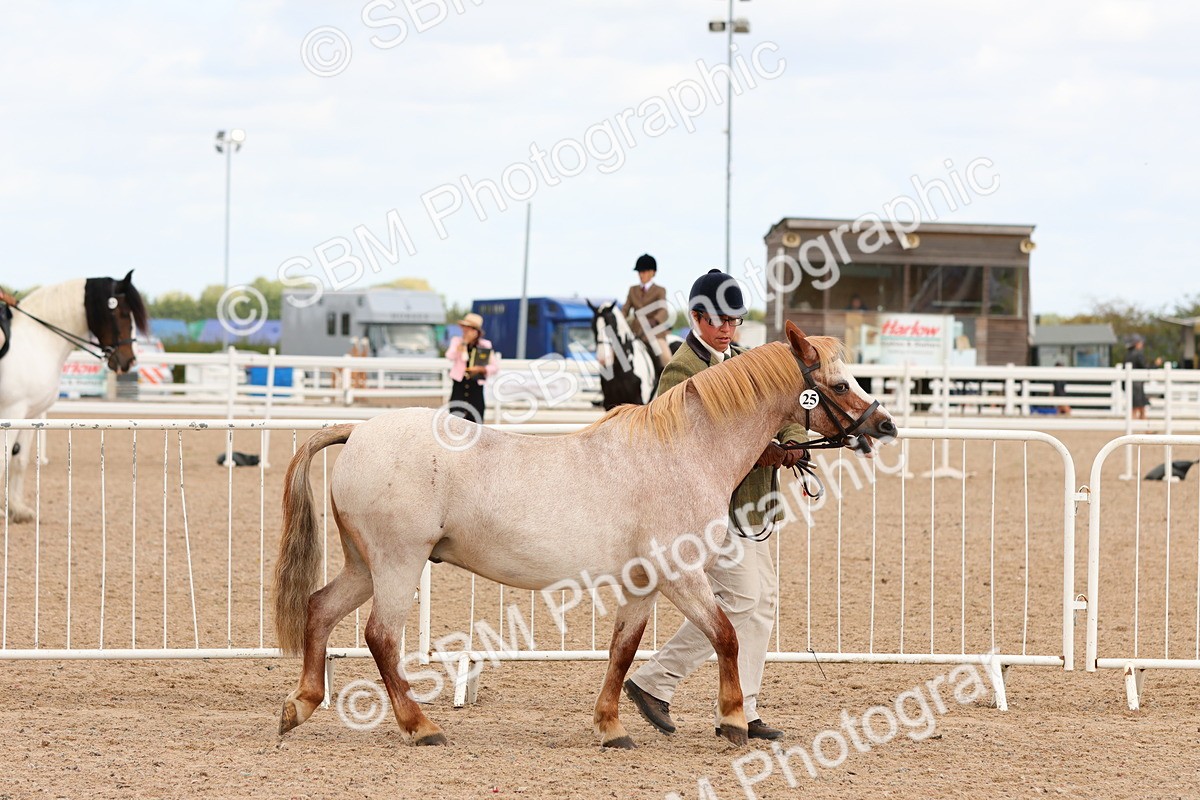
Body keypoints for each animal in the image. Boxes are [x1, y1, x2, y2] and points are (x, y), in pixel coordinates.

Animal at [0, 271, 148, 523]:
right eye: (122, 313)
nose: (129, 361)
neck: (38, 341)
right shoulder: (12, 411)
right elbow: (4, 460)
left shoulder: (30, 414)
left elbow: (18, 460)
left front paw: (18, 509)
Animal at [273, 321, 896, 748]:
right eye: (841, 384)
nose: (884, 424)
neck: (683, 451)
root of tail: (358, 432)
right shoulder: (680, 573)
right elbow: (725, 636)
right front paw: (734, 719)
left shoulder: (643, 581)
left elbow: (623, 649)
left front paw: (612, 725)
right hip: (398, 564)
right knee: (381, 637)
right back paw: (420, 726)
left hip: (364, 565)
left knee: (319, 608)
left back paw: (300, 705)